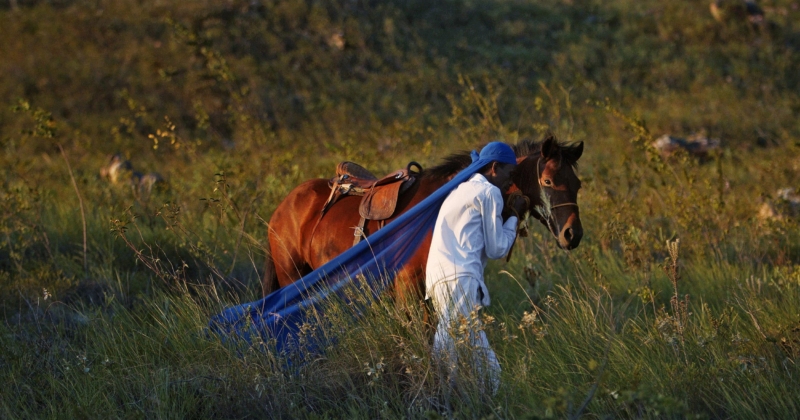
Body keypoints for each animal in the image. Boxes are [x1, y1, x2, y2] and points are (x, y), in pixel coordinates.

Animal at [262, 135, 580, 298]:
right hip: (292, 279)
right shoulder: (408, 286)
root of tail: (283, 206)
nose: (573, 235)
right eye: (548, 181)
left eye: (577, 184)